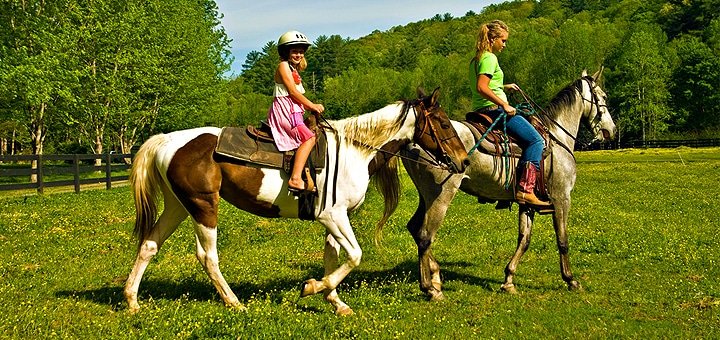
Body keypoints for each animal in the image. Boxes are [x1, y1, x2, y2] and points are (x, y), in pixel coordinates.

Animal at [121, 88, 470, 316]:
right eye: (442, 123)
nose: (464, 161)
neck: (355, 150)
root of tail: (167, 141)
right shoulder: (333, 216)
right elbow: (354, 256)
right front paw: (313, 287)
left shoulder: (334, 219)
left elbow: (334, 256)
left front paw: (335, 301)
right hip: (203, 206)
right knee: (207, 256)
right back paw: (233, 301)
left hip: (178, 206)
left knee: (149, 245)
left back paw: (132, 300)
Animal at [380, 69, 616, 300]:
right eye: (603, 97)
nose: (611, 131)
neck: (556, 139)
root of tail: (411, 140)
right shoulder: (562, 198)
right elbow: (563, 241)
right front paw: (571, 280)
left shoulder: (527, 203)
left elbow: (524, 240)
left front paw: (509, 280)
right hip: (440, 197)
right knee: (424, 235)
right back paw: (430, 287)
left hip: (426, 196)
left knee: (414, 228)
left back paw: (436, 277)